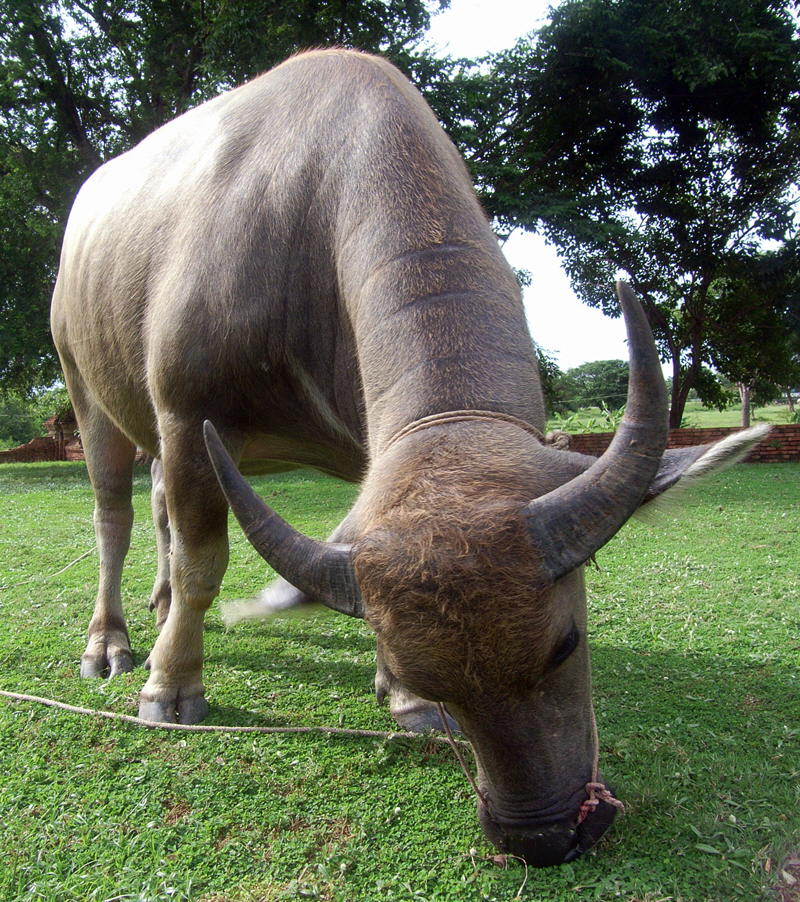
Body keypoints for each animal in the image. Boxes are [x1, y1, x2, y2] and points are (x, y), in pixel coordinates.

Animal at [51, 49, 768, 868]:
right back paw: (112, 642)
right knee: (115, 518)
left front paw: (408, 706)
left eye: (567, 645)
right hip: (89, 393)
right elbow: (206, 563)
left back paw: (160, 602)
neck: (302, 221)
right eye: (415, 665)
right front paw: (171, 687)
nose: (543, 833)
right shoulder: (186, 414)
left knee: (160, 508)